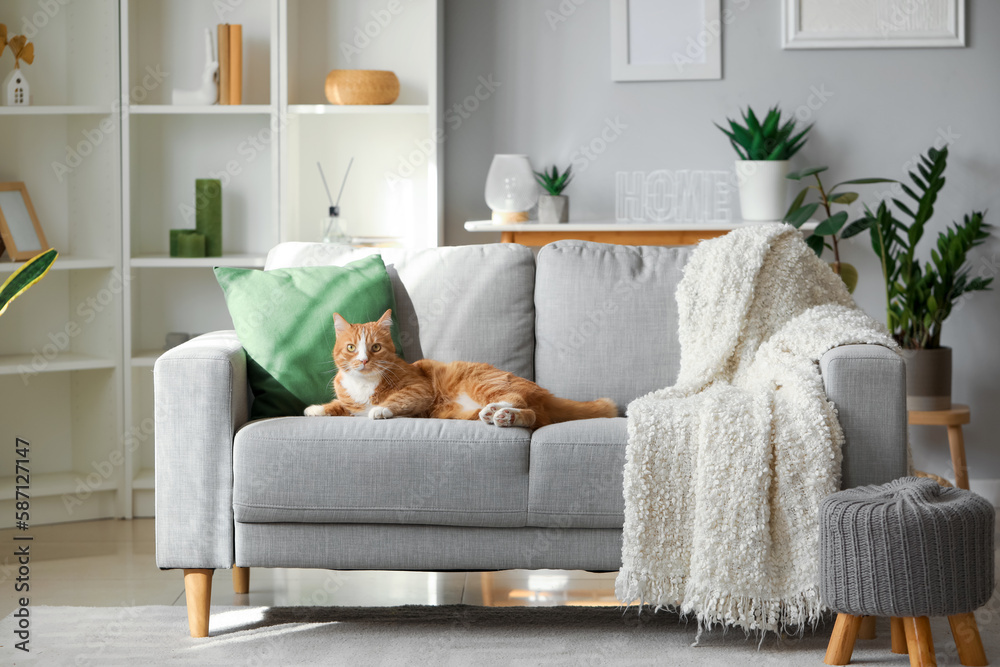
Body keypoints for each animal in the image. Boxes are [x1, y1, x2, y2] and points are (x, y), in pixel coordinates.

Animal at [304, 308, 616, 428]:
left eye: (376, 348)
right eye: (351, 348)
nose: (364, 360)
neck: (365, 383)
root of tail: (543, 392)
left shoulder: (419, 389)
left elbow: (395, 399)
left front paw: (379, 409)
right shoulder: (348, 401)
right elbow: (339, 406)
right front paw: (316, 408)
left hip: (483, 381)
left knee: (516, 399)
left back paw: (498, 410)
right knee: (530, 416)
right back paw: (502, 416)